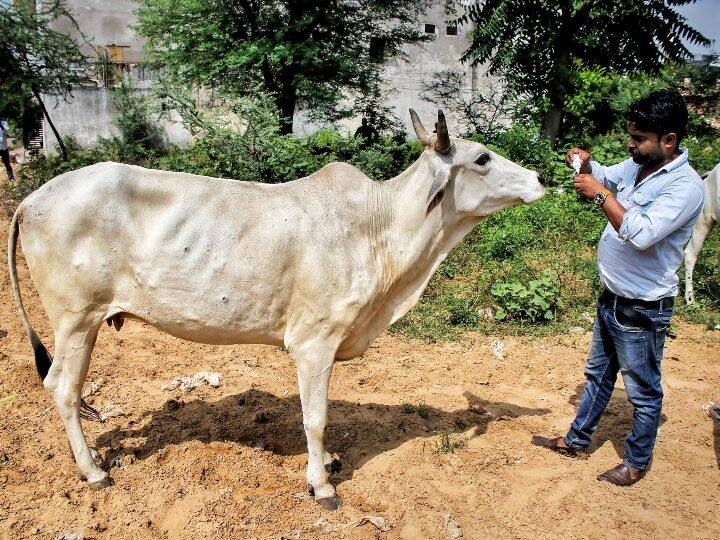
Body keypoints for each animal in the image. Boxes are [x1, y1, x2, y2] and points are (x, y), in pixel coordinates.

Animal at [8, 108, 544, 506]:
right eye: (482, 157)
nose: (539, 177)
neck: (379, 227)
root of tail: (32, 199)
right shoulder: (313, 342)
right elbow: (316, 419)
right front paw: (321, 485)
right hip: (76, 319)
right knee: (62, 388)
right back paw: (93, 471)